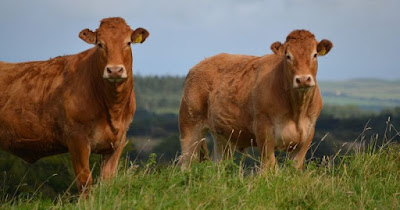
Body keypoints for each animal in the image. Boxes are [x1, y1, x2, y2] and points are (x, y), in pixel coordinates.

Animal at [0, 17, 148, 193]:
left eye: (128, 43)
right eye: (100, 44)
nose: (114, 70)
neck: (113, 109)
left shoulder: (117, 141)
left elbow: (107, 181)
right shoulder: (77, 138)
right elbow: (85, 181)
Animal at [178, 29, 332, 170]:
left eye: (315, 54)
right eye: (288, 56)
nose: (303, 79)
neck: (297, 111)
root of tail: (199, 65)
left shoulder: (307, 134)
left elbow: (294, 169)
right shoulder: (263, 130)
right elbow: (270, 167)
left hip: (222, 135)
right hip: (190, 126)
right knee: (187, 163)